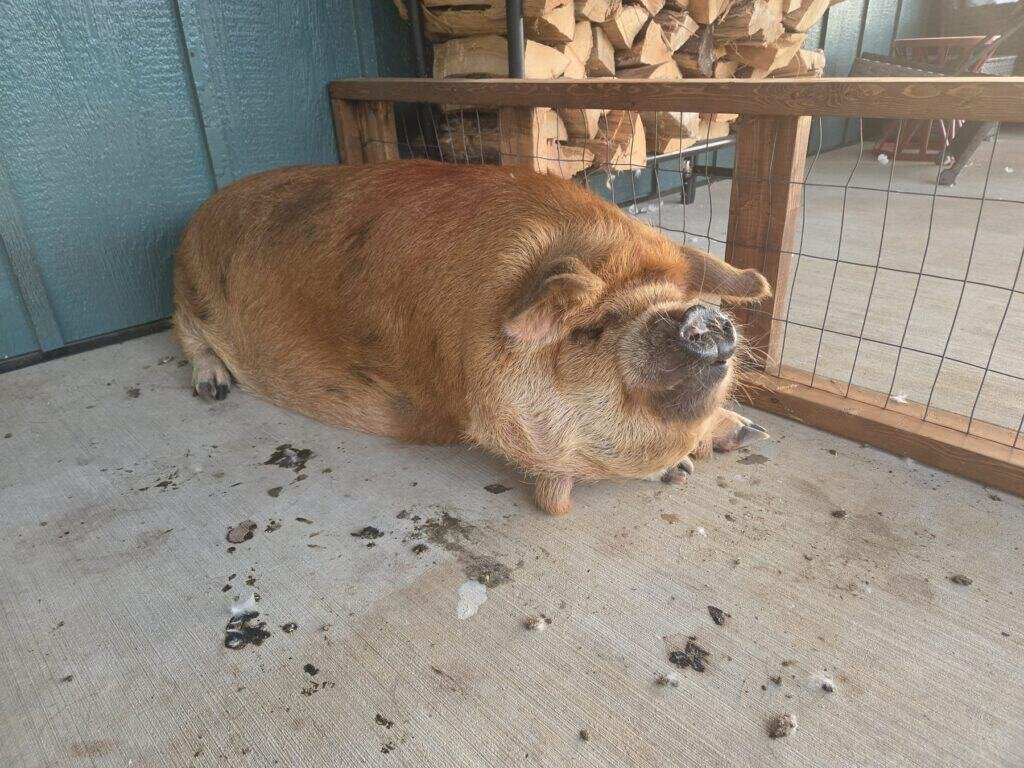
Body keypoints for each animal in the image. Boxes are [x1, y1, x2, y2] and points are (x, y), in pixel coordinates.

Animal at [173, 160, 770, 515]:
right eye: (590, 329)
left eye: (676, 294)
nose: (703, 317)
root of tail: (200, 211)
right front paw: (682, 468)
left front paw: (748, 436)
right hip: (188, 291)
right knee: (187, 334)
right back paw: (213, 390)